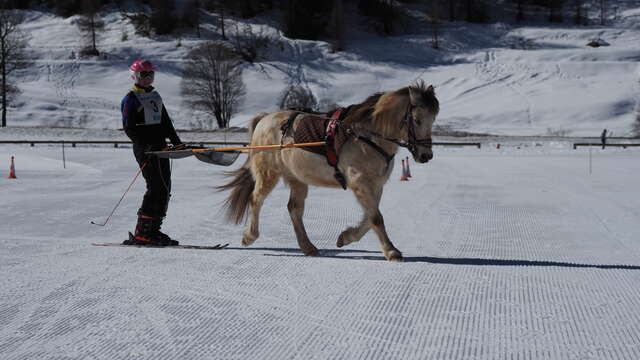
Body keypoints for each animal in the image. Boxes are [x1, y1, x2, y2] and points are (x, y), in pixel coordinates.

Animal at [218, 81, 438, 262]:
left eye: (433, 119)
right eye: (417, 120)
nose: (426, 155)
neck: (366, 136)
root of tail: (264, 119)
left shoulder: (376, 184)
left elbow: (370, 217)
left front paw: (346, 237)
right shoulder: (359, 182)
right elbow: (376, 217)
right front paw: (391, 251)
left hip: (297, 178)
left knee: (294, 209)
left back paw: (308, 247)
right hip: (268, 173)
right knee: (256, 199)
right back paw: (250, 236)